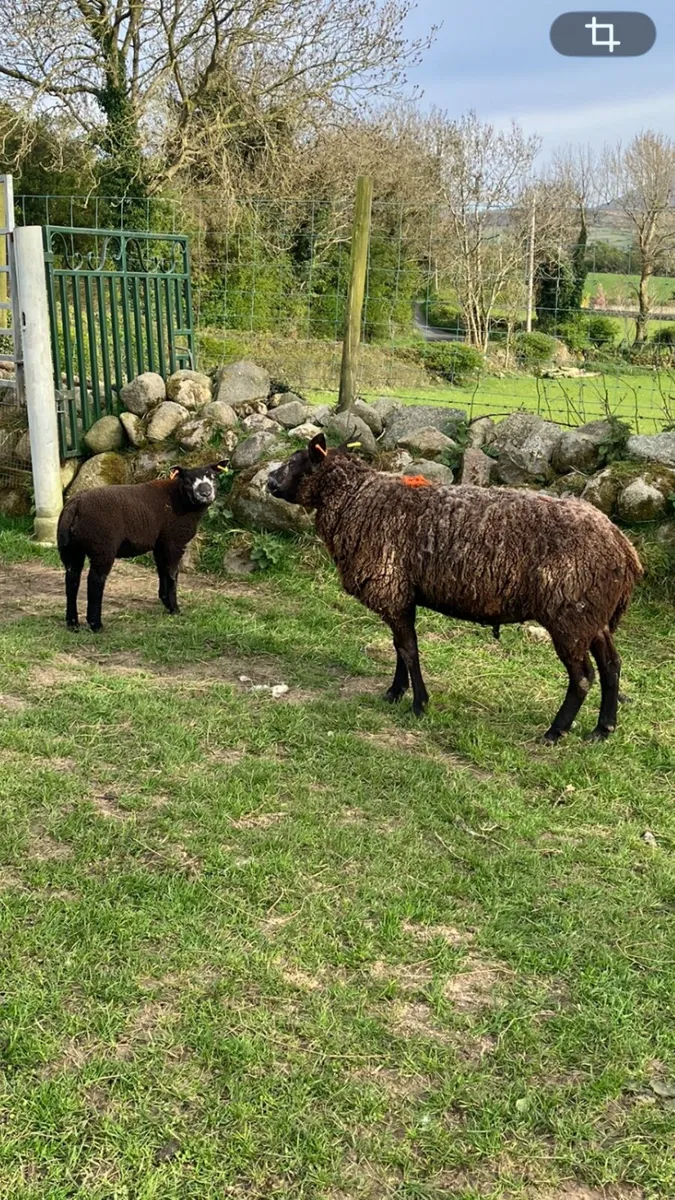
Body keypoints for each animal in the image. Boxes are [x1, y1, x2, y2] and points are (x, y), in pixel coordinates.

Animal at [57, 461, 228, 631]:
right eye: (187, 481)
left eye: (213, 477)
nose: (205, 493)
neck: (181, 500)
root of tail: (75, 505)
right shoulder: (174, 542)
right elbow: (172, 574)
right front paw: (175, 608)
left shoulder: (160, 544)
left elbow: (162, 570)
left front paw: (165, 601)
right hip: (102, 547)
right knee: (95, 580)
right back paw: (96, 625)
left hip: (70, 549)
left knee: (72, 579)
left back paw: (72, 623)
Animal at [267, 434, 643, 743]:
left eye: (296, 461)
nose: (269, 481)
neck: (357, 500)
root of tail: (623, 548)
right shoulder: (401, 595)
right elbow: (399, 648)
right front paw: (395, 692)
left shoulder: (392, 589)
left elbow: (409, 650)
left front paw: (419, 704)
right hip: (594, 616)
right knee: (612, 666)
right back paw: (603, 729)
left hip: (570, 616)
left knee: (583, 676)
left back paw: (555, 731)